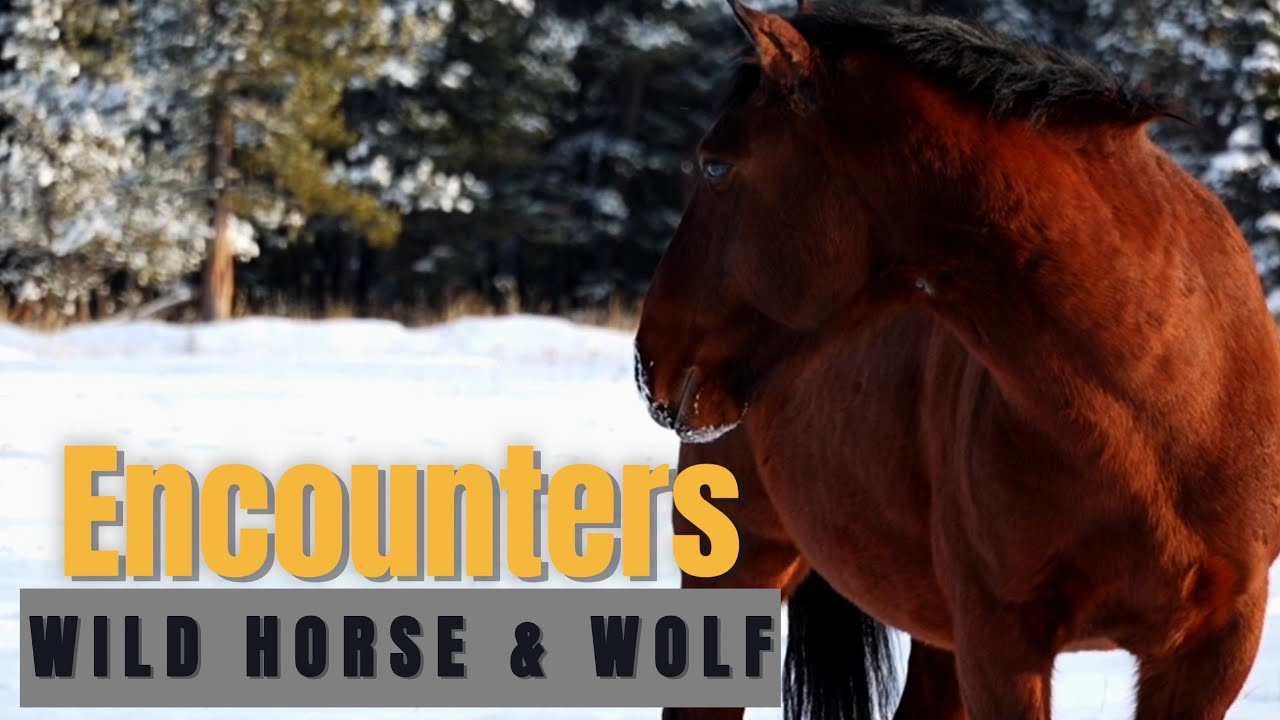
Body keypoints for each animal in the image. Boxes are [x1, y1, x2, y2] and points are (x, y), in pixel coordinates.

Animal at [634, 2, 1280, 719]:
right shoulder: (1000, 641)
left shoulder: (1213, 647)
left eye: (716, 166)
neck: (1166, 401)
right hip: (739, 566)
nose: (650, 363)